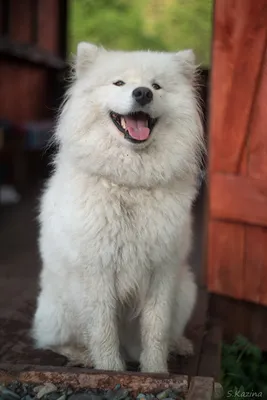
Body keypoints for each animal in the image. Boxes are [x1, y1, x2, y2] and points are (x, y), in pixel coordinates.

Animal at [33, 42, 205, 374]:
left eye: (157, 86)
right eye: (119, 83)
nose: (143, 93)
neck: (130, 184)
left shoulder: (162, 271)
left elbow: (156, 330)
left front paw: (156, 372)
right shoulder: (97, 271)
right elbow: (102, 330)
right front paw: (110, 370)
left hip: (187, 290)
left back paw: (178, 345)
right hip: (59, 306)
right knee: (51, 340)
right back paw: (82, 355)